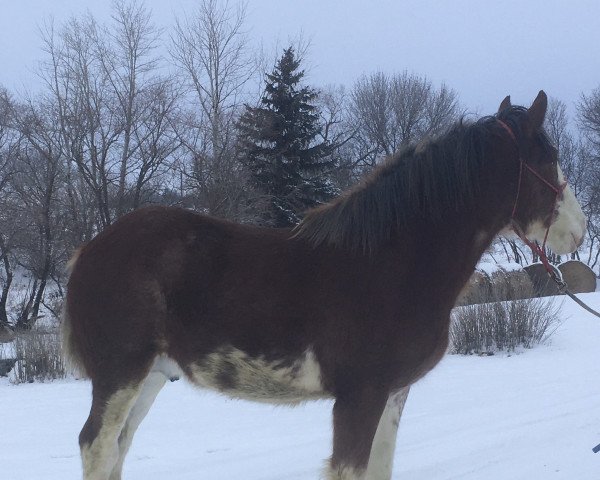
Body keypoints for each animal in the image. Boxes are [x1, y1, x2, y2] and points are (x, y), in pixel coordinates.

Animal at [62, 91, 584, 480]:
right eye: (550, 158)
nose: (579, 232)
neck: (395, 263)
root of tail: (88, 249)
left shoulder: (393, 394)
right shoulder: (359, 397)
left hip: (150, 376)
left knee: (119, 446)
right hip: (121, 372)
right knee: (97, 444)